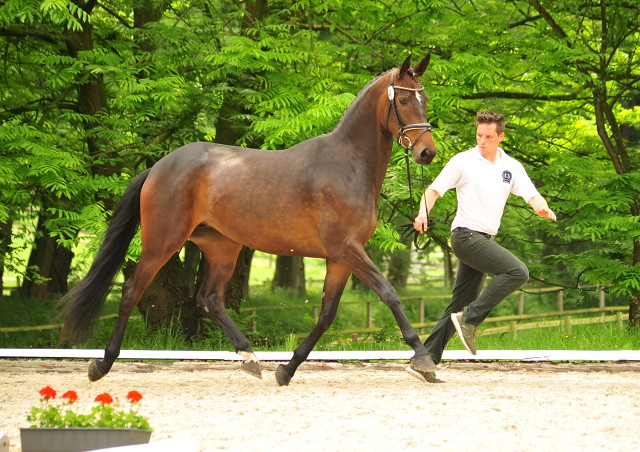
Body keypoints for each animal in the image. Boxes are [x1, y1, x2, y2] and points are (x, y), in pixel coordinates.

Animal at [60, 53, 438, 384]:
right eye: (405, 100)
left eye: (425, 98)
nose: (427, 152)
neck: (347, 164)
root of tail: (157, 167)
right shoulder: (346, 248)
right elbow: (389, 293)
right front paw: (423, 359)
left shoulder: (341, 256)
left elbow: (326, 315)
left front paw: (287, 370)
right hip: (162, 241)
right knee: (132, 291)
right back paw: (102, 364)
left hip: (221, 247)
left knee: (210, 299)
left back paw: (250, 357)